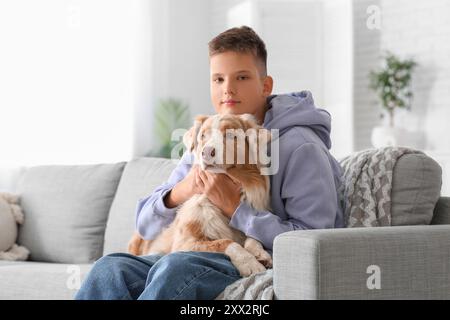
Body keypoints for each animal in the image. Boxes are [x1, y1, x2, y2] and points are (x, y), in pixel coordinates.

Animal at [128, 114, 272, 276]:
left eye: (230, 135)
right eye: (203, 136)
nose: (207, 152)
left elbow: (253, 238)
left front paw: (261, 254)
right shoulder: (185, 242)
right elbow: (227, 242)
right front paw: (249, 263)